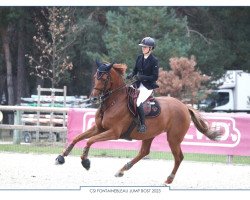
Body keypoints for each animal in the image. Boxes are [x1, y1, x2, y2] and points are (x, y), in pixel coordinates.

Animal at [55, 61, 222, 184]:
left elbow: (89, 141)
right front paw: (61, 157)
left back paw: (168, 179)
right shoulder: (99, 128)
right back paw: (122, 169)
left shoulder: (113, 133)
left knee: (178, 157)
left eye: (104, 78)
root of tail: (184, 106)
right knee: (144, 152)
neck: (113, 102)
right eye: (96, 76)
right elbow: (77, 138)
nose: (94, 98)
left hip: (173, 138)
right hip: (149, 134)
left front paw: (85, 162)